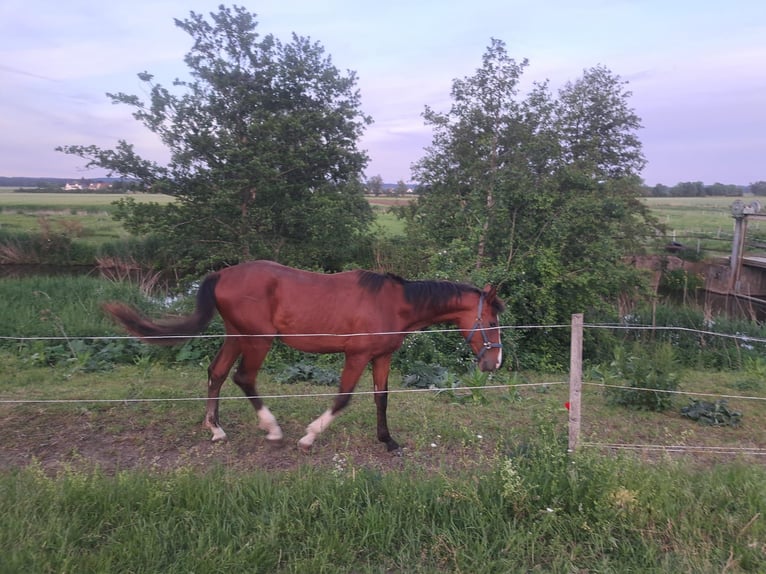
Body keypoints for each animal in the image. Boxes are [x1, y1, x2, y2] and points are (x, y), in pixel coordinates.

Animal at [103, 260, 504, 452]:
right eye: (491, 320)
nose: (494, 363)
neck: (394, 304)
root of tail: (222, 274)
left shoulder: (381, 357)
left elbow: (382, 398)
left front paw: (388, 441)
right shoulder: (356, 356)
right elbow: (342, 399)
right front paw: (309, 437)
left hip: (236, 335)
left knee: (216, 372)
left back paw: (216, 429)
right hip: (258, 340)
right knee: (243, 378)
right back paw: (273, 430)